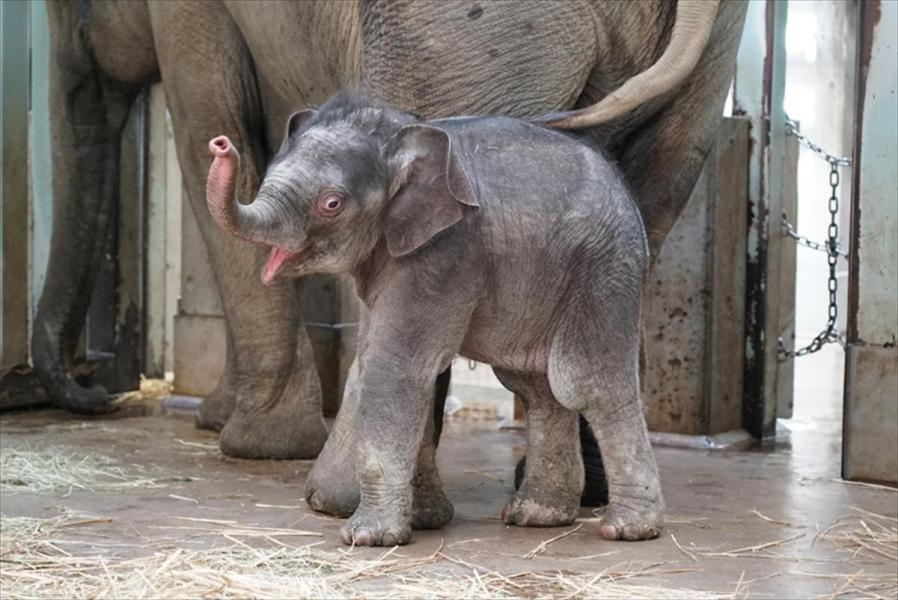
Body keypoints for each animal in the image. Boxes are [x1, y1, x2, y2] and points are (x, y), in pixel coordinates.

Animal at [206, 91, 660, 548]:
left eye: (331, 204)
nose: (221, 144)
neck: (399, 136)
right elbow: (392, 368)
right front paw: (423, 521)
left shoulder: (443, 252)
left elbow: (396, 369)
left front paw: (367, 538)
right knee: (536, 388)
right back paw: (536, 516)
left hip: (603, 269)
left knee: (587, 383)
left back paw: (628, 529)